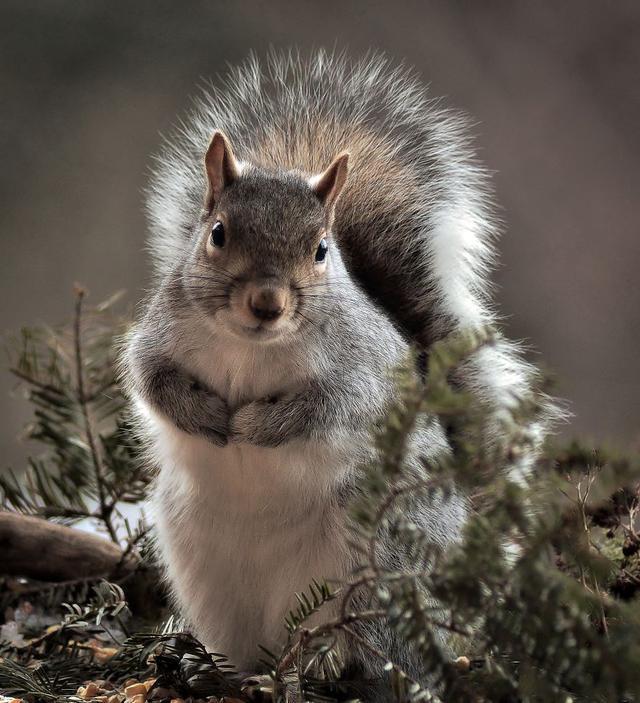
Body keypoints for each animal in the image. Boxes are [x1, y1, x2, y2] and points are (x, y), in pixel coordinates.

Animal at [124, 52, 552, 700]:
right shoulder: (158, 336)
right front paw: (207, 415)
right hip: (204, 570)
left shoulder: (365, 371)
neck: (250, 348)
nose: (267, 304)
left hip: (379, 564)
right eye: (218, 233)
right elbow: (151, 378)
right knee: (251, 648)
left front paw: (258, 425)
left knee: (386, 654)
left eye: (321, 249)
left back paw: (332, 666)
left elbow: (332, 406)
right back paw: (215, 667)